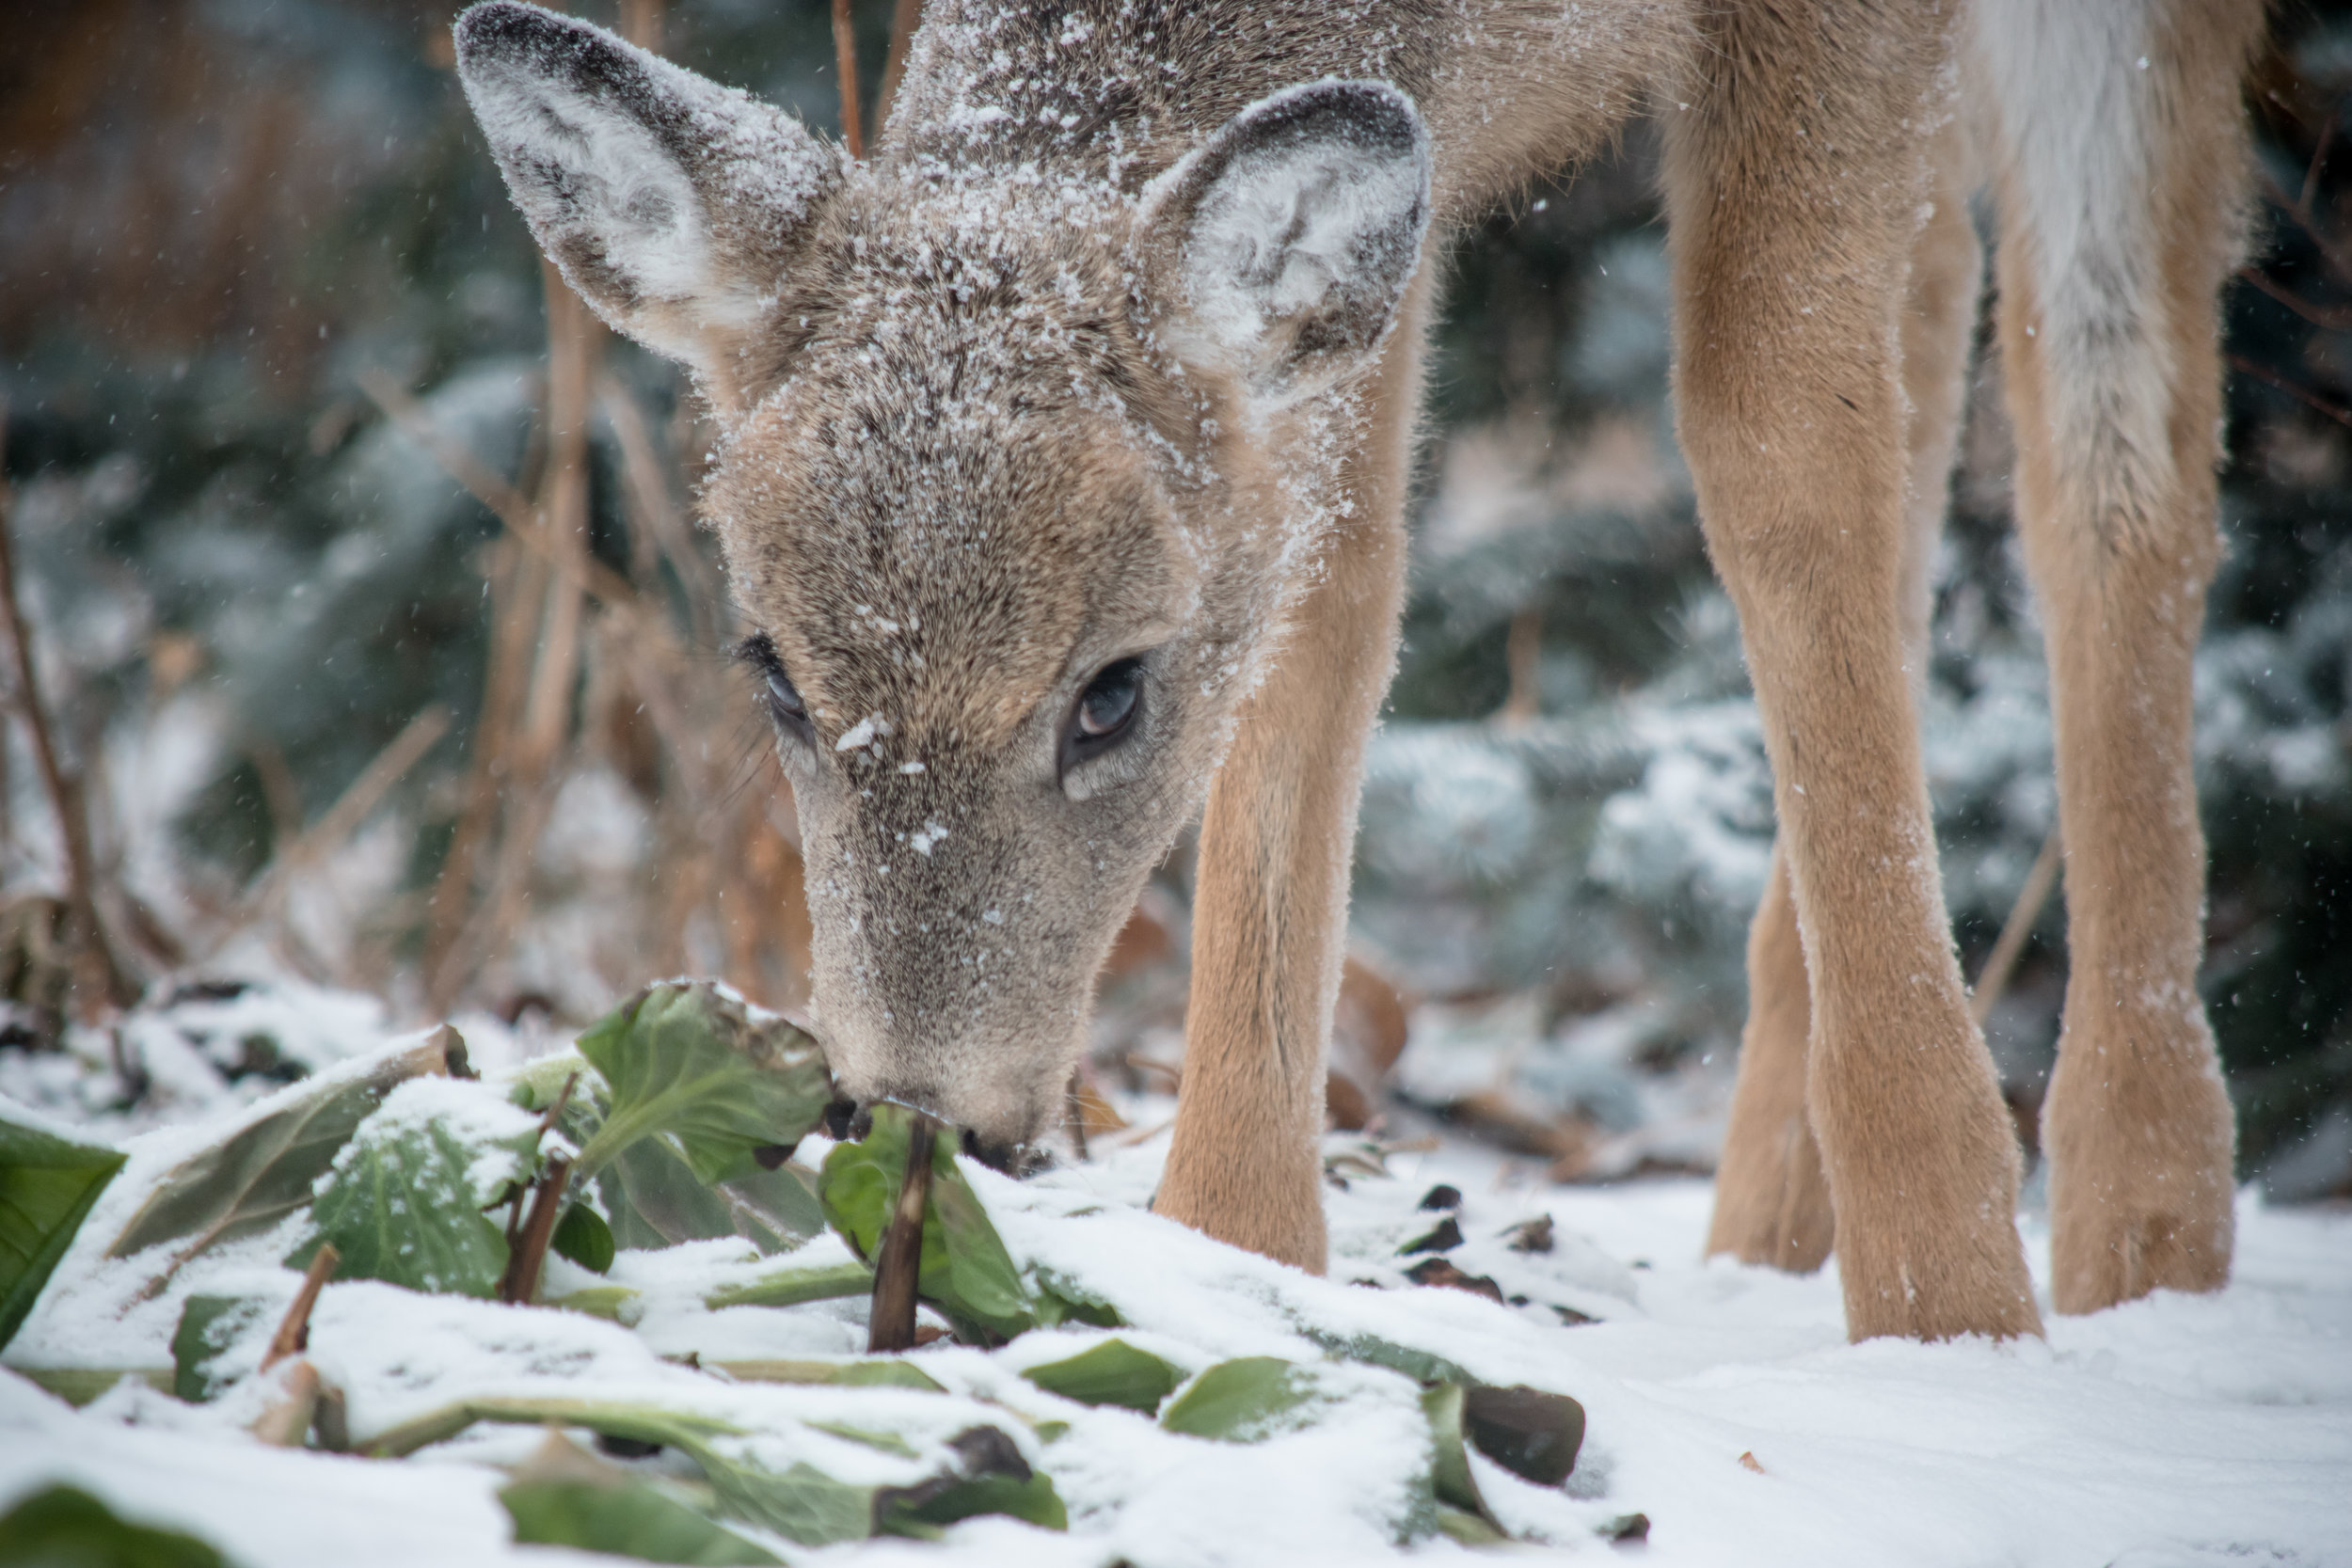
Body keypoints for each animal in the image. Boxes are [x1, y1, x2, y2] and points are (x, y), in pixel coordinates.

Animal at [449, 0, 2267, 1344]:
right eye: (772, 671)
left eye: (1111, 688)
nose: (919, 1115)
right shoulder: (1408, 175)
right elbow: (1333, 600)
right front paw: (1238, 1249)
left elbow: (1769, 434)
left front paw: (1949, 1291)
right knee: (1954, 336)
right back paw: (1771, 1225)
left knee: (2115, 431)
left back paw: (2141, 1232)